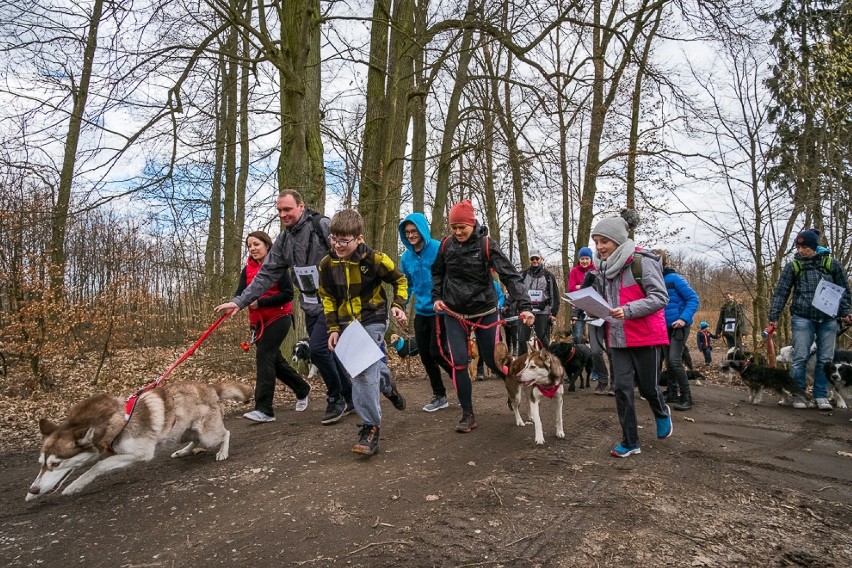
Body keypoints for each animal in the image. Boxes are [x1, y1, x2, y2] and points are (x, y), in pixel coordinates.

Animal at [26, 382, 251, 502]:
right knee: (194, 440)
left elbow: (99, 466)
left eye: (56, 464)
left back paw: (222, 452)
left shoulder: (140, 453)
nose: (34, 490)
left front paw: (75, 485)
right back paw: (184, 451)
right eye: (42, 463)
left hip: (207, 435)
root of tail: (210, 387)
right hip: (181, 432)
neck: (115, 422)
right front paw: (33, 494)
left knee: (225, 433)